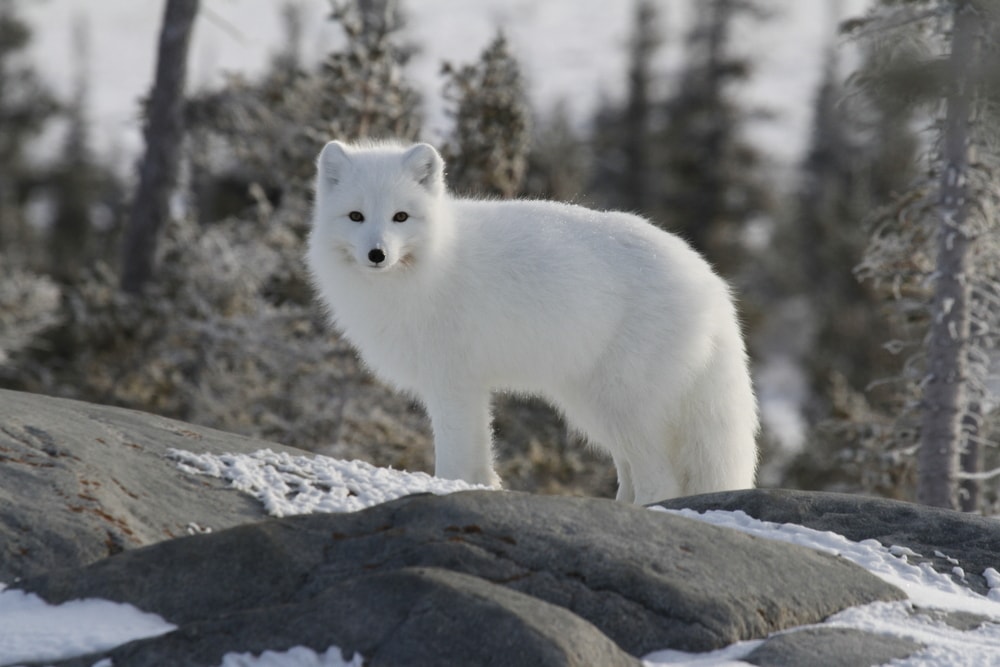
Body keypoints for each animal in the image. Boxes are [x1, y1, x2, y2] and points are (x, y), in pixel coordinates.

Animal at [306, 139, 759, 504]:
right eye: (356, 216)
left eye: (400, 217)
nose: (377, 254)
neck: (434, 263)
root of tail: (710, 280)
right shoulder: (468, 387)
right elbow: (478, 460)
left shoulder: (452, 383)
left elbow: (453, 458)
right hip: (595, 406)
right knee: (632, 473)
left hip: (621, 402)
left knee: (661, 480)